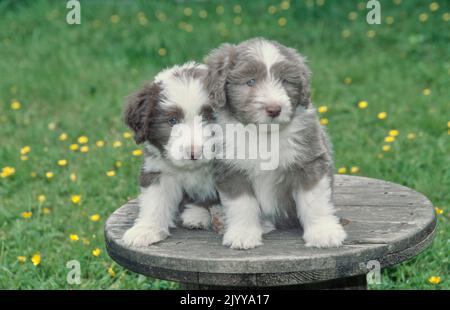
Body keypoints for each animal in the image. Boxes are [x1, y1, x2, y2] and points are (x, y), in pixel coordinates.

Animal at [122, 62, 221, 247]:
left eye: (210, 117)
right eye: (172, 120)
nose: (194, 152)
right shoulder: (158, 170)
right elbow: (154, 200)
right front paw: (145, 231)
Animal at [204, 37, 348, 249]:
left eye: (285, 80)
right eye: (251, 81)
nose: (274, 109)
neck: (264, 135)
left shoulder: (309, 161)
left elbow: (314, 200)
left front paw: (323, 233)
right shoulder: (231, 168)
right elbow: (241, 204)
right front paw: (243, 235)